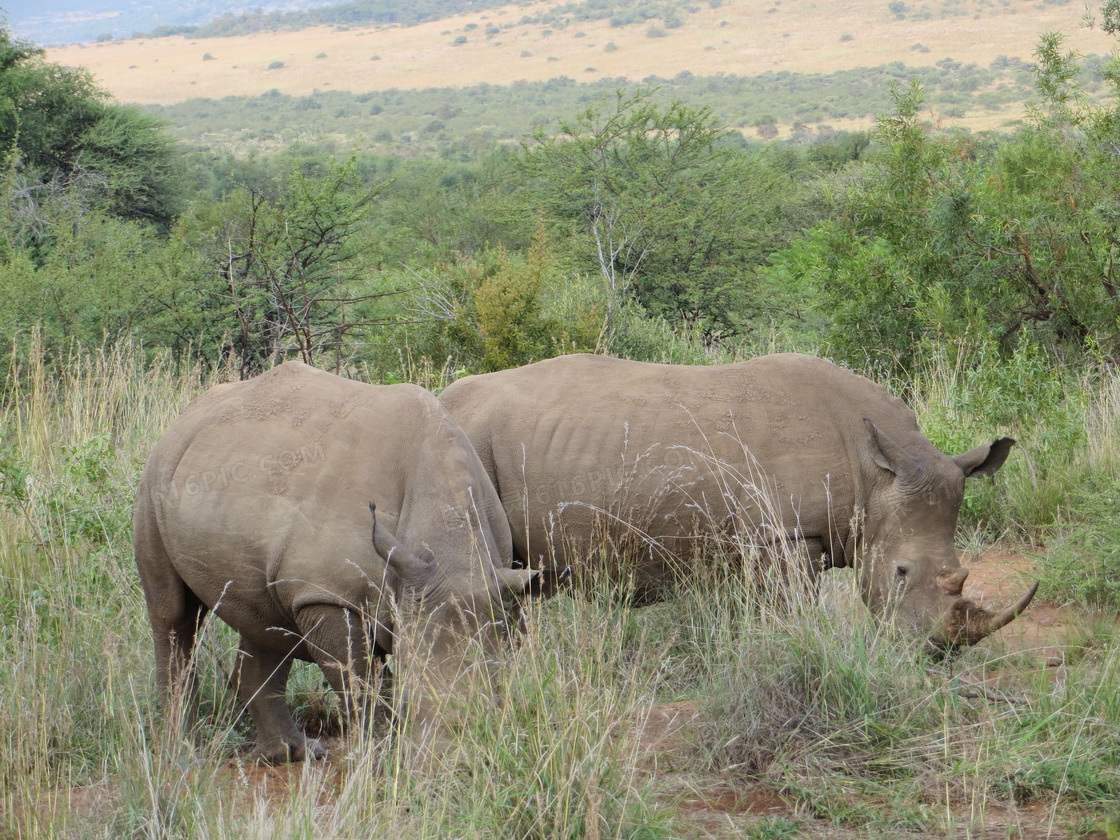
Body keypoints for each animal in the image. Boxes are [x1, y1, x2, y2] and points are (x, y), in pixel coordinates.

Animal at [134, 362, 546, 761]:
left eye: (501, 690)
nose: (454, 759)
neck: (451, 543)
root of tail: (186, 416)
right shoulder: (329, 593)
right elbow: (361, 684)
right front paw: (381, 758)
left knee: (266, 622)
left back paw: (291, 754)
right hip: (156, 477)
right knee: (174, 615)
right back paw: (182, 751)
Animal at [439, 351, 1039, 649]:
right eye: (900, 573)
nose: (940, 648)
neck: (877, 474)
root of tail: (440, 399)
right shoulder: (784, 535)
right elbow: (789, 612)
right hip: (468, 450)